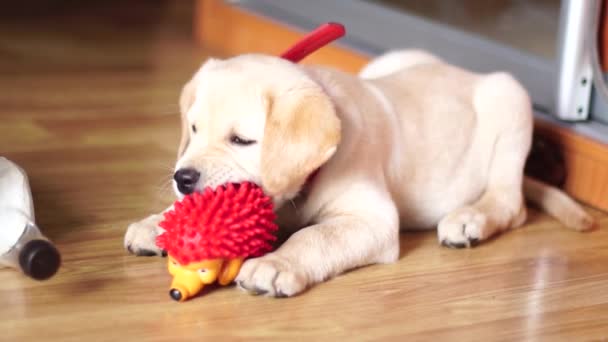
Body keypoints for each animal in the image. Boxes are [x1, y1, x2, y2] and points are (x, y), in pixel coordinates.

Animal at [124, 50, 592, 296]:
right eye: (194, 129)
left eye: (241, 140)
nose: (183, 178)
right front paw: (158, 223)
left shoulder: (374, 220)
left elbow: (316, 236)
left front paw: (275, 263)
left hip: (512, 101)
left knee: (512, 201)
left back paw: (470, 218)